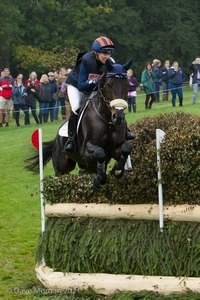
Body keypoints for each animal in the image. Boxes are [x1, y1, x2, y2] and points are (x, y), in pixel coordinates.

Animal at [25, 59, 134, 188]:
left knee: (85, 170)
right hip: (62, 167)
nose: (118, 117)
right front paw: (99, 179)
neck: (107, 120)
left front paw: (116, 171)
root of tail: (56, 139)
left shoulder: (116, 148)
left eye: (127, 85)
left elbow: (126, 148)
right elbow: (99, 152)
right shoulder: (87, 149)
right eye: (109, 84)